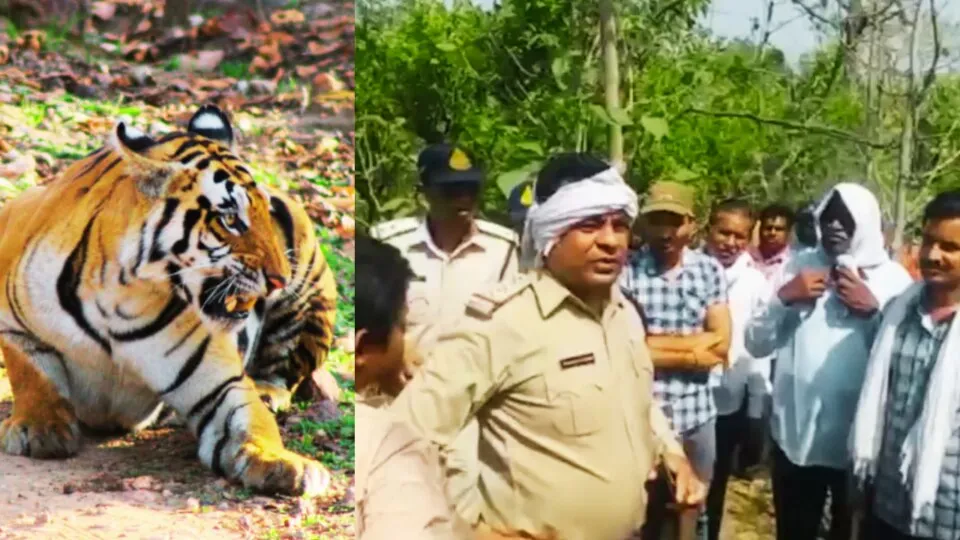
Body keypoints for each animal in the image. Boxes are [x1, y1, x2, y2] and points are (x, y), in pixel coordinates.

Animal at [0, 104, 336, 497]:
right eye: (230, 218)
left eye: (264, 214)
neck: (120, 295)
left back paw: (267, 391)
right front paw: (39, 428)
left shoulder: (220, 385)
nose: (280, 277)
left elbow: (254, 422)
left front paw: (284, 463)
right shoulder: (13, 323)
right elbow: (33, 374)